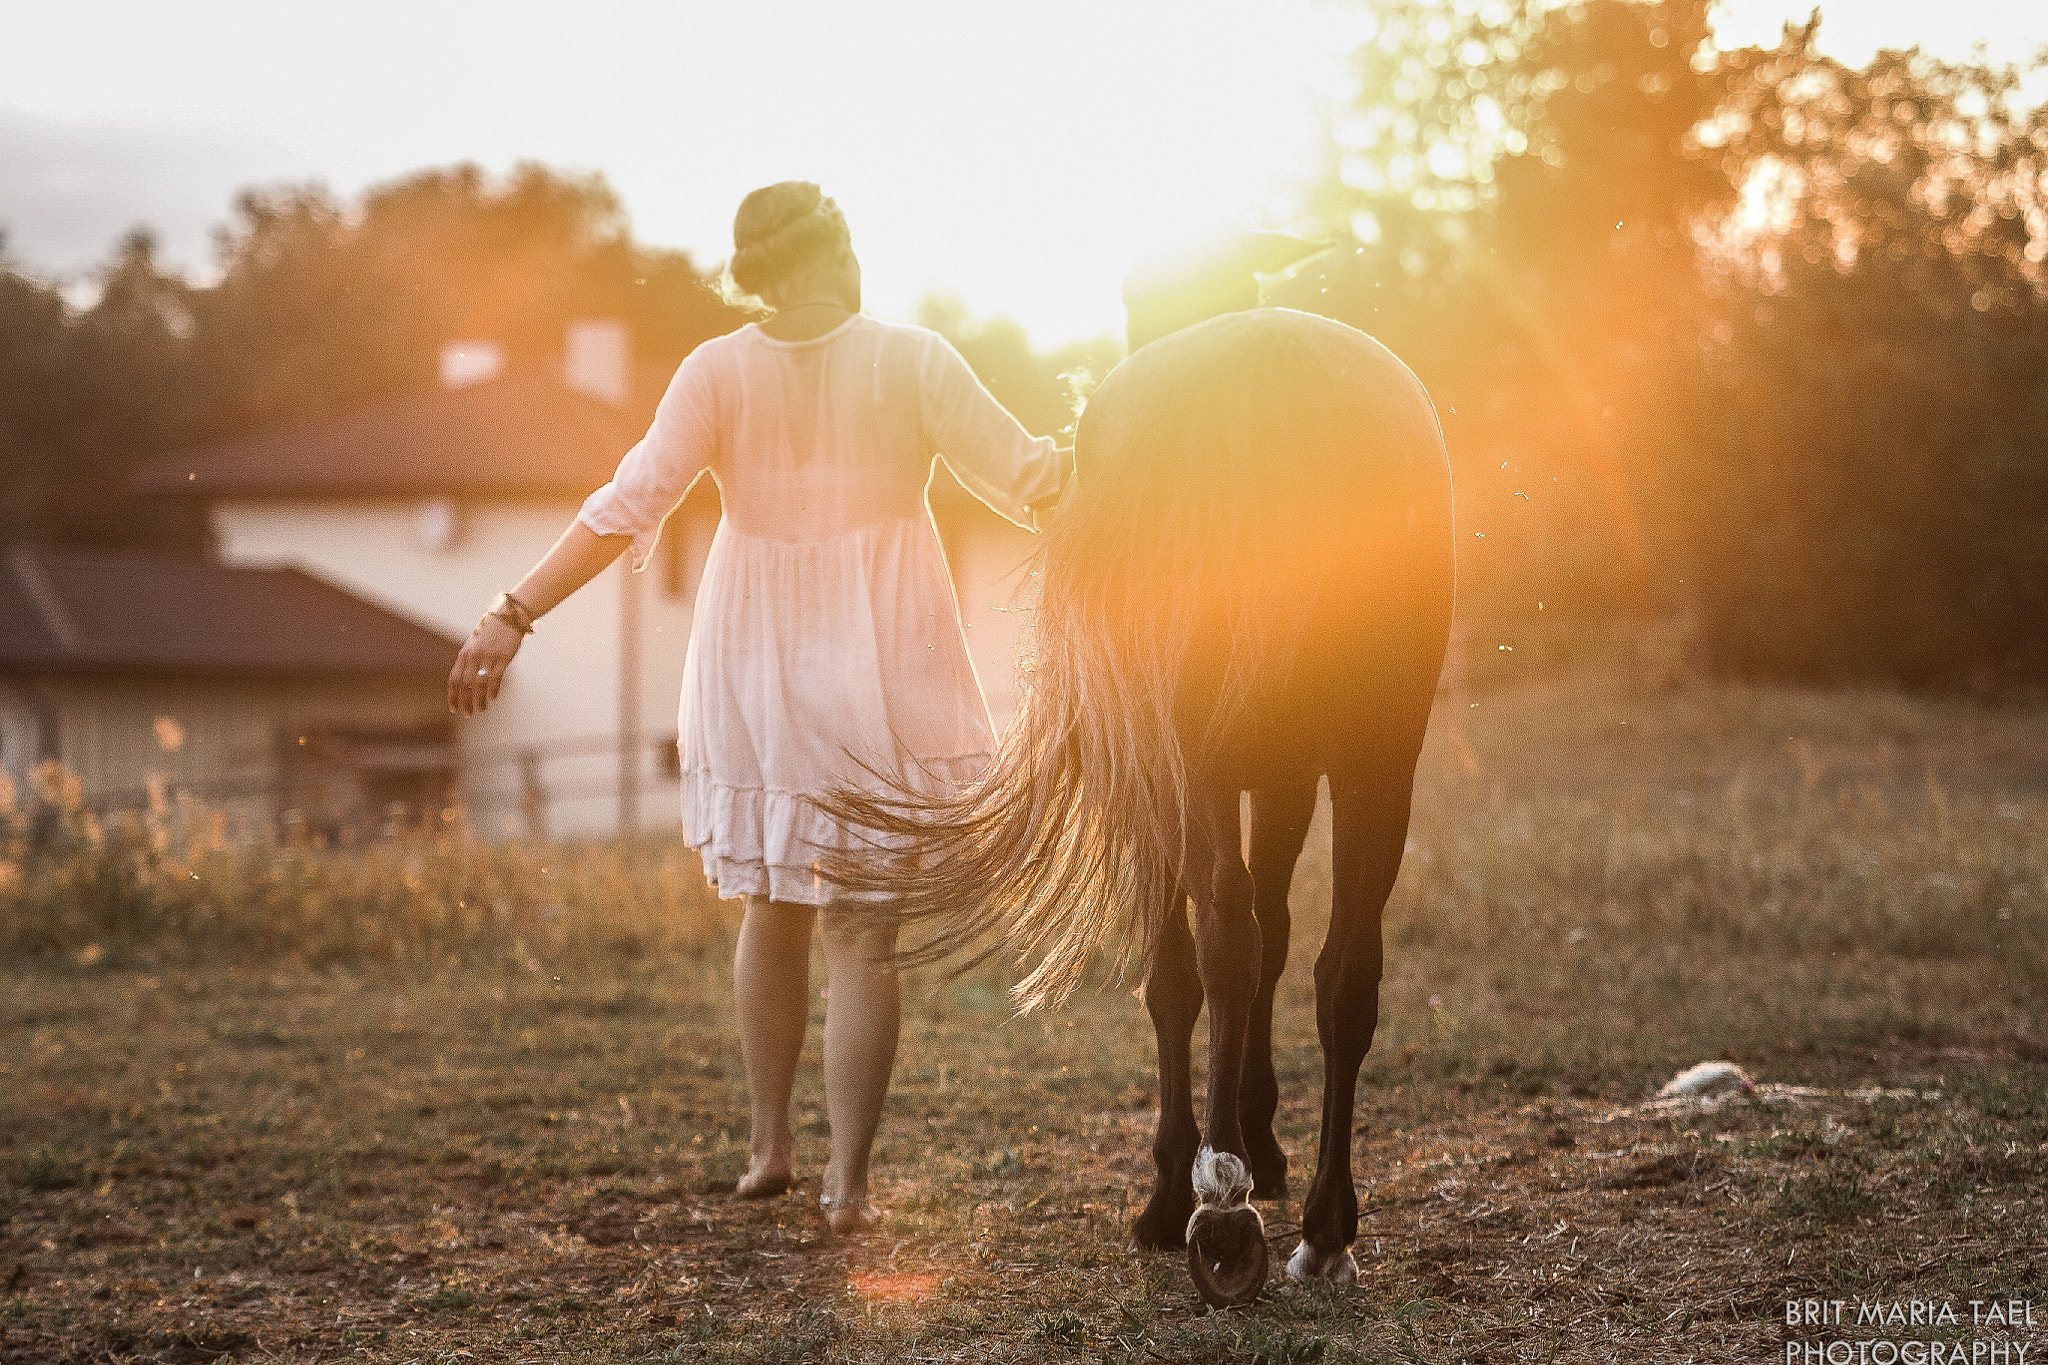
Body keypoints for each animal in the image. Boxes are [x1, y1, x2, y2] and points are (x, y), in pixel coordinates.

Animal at [831, 280, 1458, 1301]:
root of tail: (1280, 375)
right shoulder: (1286, 774)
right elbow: (1281, 942)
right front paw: (1262, 1141)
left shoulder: (1171, 774)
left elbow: (1176, 975)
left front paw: (1185, 1179)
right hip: (1379, 762)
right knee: (1342, 973)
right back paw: (1325, 1224)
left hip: (1201, 764)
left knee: (1225, 940)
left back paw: (1217, 1211)